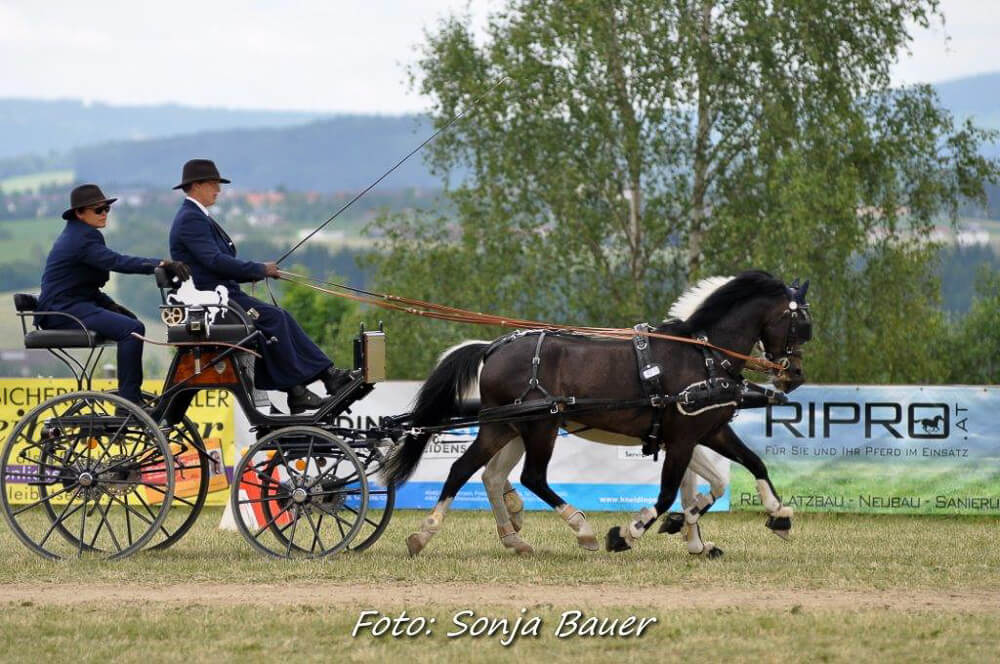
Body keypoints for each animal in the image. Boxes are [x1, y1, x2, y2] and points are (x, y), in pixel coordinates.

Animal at [382, 270, 812, 556]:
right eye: (800, 323)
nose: (794, 375)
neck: (703, 357)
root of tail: (494, 347)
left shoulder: (706, 432)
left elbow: (748, 467)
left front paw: (777, 515)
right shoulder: (682, 439)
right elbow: (669, 492)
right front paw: (630, 532)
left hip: (504, 427)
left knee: (470, 471)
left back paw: (435, 533)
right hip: (540, 426)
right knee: (531, 477)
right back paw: (581, 528)